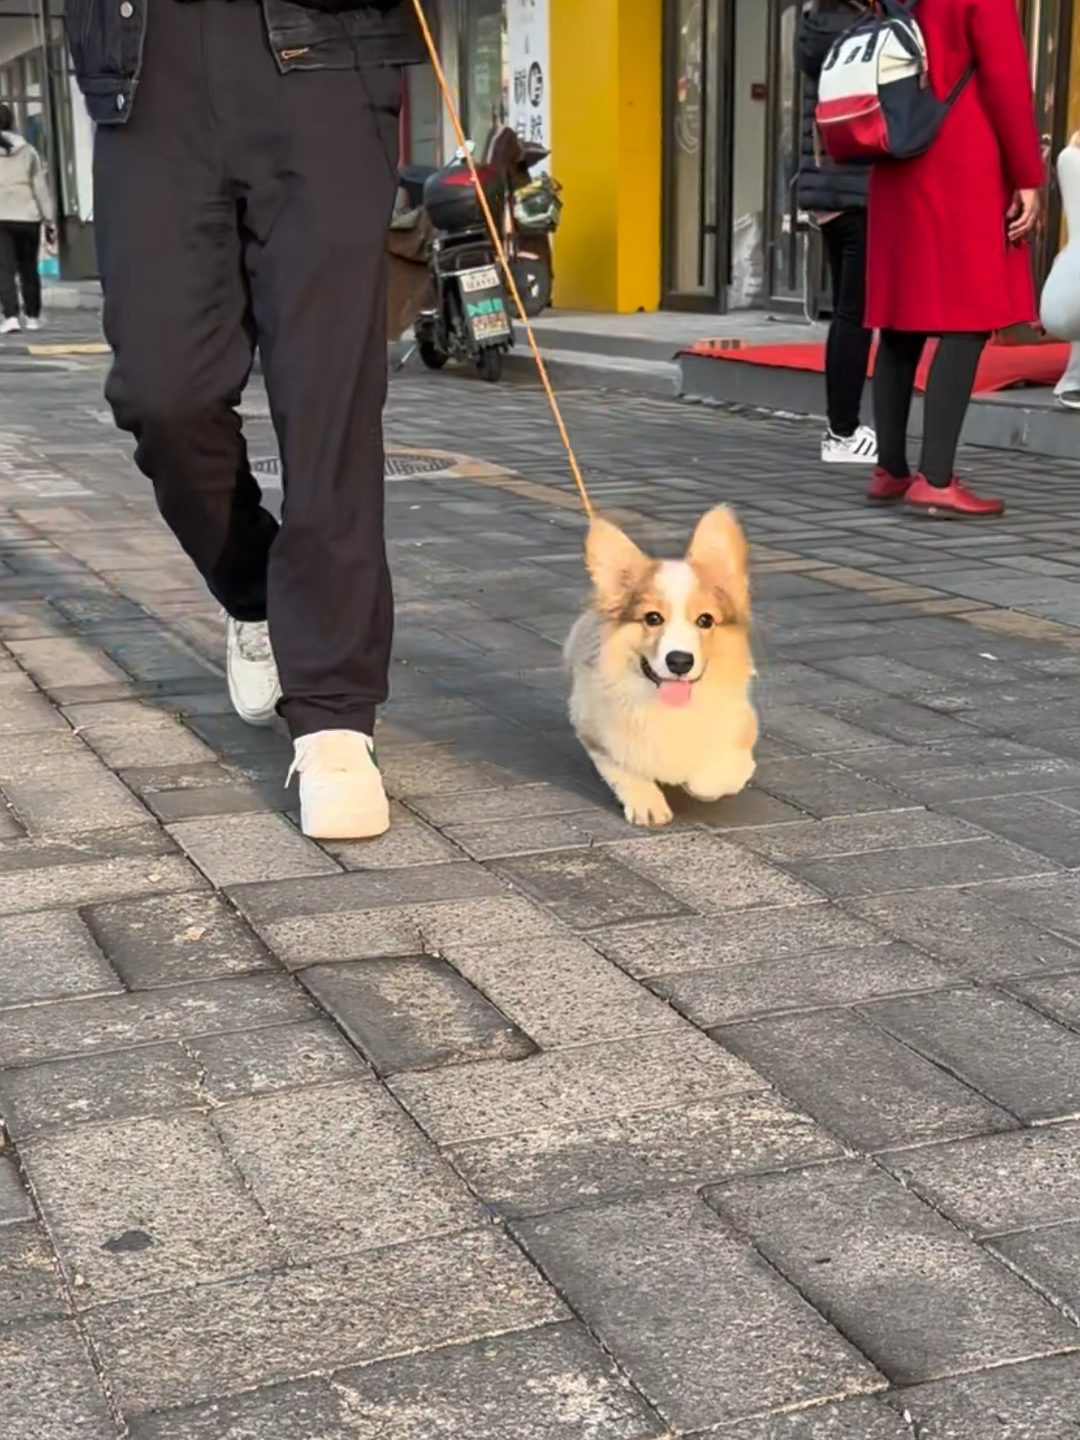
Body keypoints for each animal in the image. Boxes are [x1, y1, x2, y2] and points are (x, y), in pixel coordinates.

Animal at [570, 509, 754, 829]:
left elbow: (712, 778)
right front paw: (648, 804)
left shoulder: (741, 730)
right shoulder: (595, 732)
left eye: (706, 620)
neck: (670, 708)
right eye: (652, 618)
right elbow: (624, 768)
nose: (679, 661)